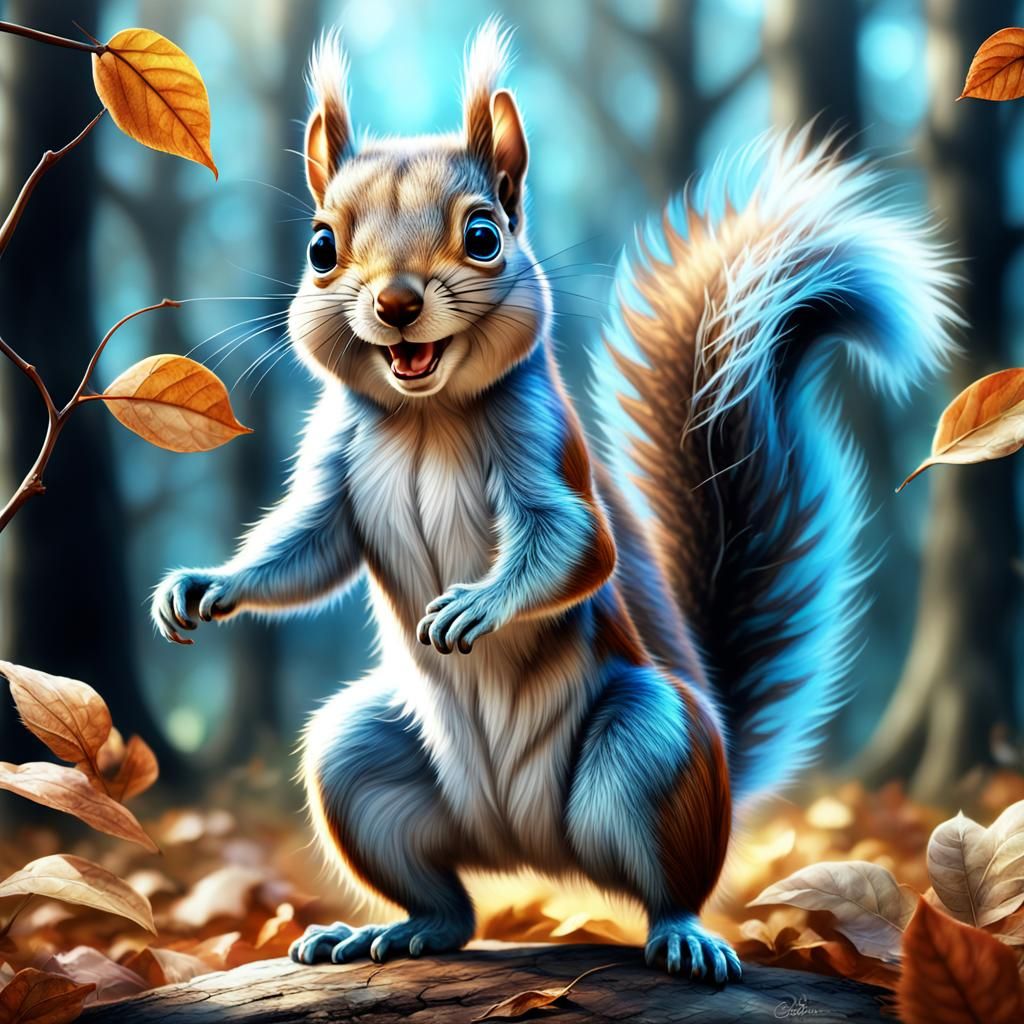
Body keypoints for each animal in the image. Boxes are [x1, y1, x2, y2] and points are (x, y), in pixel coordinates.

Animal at [152, 20, 958, 983]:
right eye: (319, 248)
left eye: (484, 235)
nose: (395, 302)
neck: (427, 418)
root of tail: (525, 850)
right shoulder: (331, 464)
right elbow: (304, 550)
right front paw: (203, 587)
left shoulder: (545, 451)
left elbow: (577, 545)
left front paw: (476, 606)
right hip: (357, 763)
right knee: (449, 902)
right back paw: (390, 931)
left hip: (653, 748)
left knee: (669, 883)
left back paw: (683, 937)